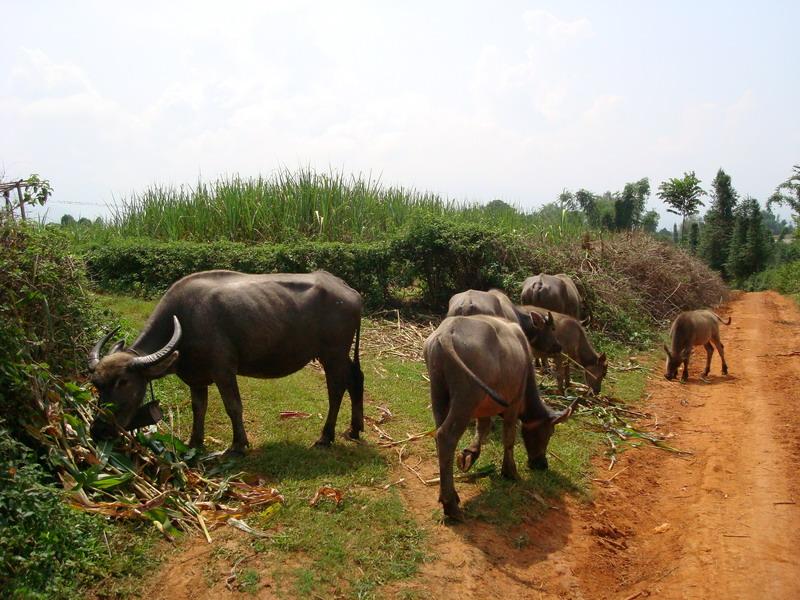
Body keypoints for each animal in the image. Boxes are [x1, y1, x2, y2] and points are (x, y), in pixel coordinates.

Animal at [88, 270, 362, 452]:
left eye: (123, 382)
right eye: (96, 385)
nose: (98, 431)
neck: (184, 323)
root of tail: (350, 291)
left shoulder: (224, 370)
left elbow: (233, 406)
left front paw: (238, 445)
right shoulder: (196, 378)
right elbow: (199, 407)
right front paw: (195, 442)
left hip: (333, 354)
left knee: (337, 389)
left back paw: (326, 437)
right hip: (341, 355)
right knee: (356, 380)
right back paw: (355, 429)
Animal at [424, 314, 576, 520]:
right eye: (550, 433)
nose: (541, 464)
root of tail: (448, 331)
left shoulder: (484, 410)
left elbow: (483, 428)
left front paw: (469, 455)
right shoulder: (514, 404)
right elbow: (509, 438)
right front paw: (509, 471)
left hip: (439, 392)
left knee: (439, 434)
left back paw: (450, 495)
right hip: (466, 398)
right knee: (446, 437)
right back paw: (451, 506)